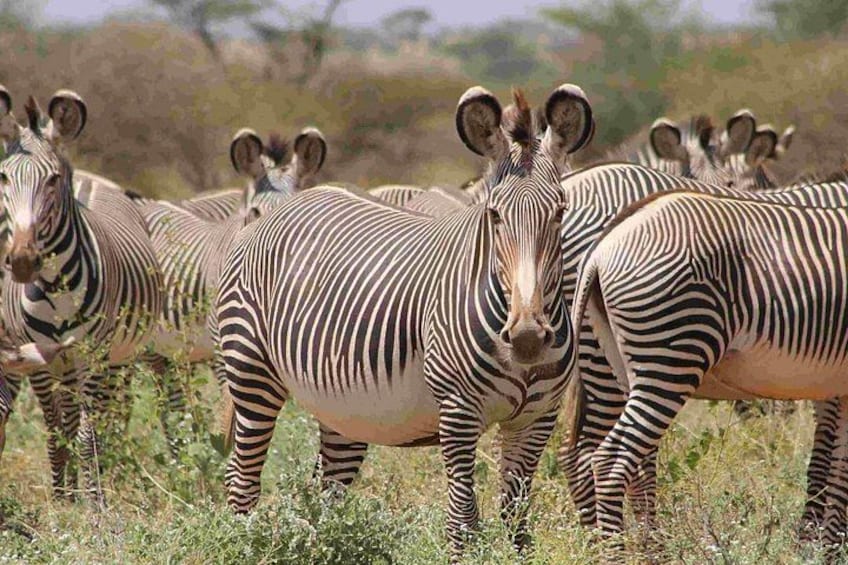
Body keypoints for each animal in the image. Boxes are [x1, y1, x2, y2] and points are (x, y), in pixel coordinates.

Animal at [0, 87, 163, 505]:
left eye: (52, 180)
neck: (55, 286)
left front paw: (94, 502)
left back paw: (109, 472)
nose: (22, 261)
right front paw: (62, 497)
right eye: (4, 177)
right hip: (65, 364)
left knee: (111, 416)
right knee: (73, 417)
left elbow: (89, 435)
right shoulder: (39, 361)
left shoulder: (91, 355)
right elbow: (57, 429)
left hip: (118, 358)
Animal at [215, 85, 593, 558]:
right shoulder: (458, 412)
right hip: (252, 374)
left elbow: (518, 521)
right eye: (494, 215)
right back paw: (241, 544)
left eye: (560, 212)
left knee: (326, 491)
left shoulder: (537, 418)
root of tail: (282, 212)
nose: (527, 337)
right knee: (241, 482)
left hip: (342, 406)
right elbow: (463, 520)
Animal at [554, 162, 848, 533]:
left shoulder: (831, 381)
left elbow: (832, 460)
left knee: (597, 455)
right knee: (604, 457)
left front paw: (819, 537)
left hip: (616, 361)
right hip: (657, 355)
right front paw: (821, 535)